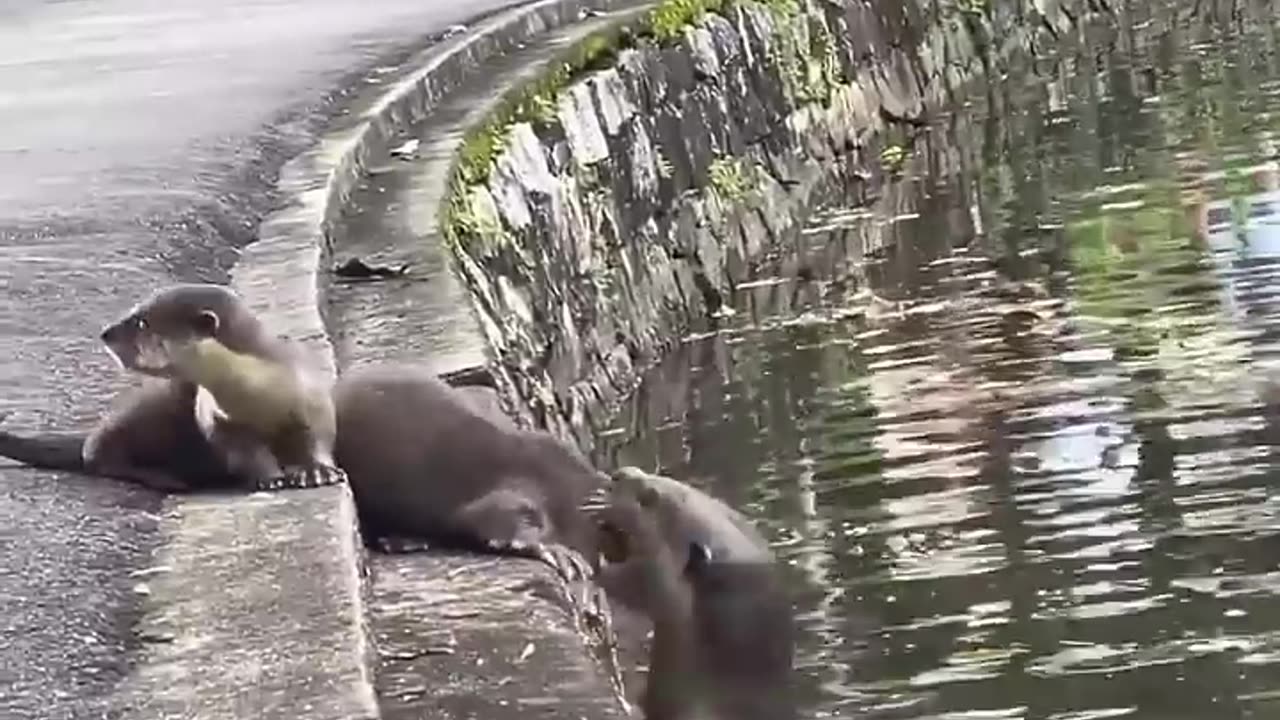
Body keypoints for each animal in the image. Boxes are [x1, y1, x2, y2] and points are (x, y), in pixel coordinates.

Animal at [0, 283, 345, 489]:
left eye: (142, 322)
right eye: (133, 311)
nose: (105, 332)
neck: (255, 392)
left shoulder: (312, 396)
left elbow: (318, 437)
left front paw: (318, 471)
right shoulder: (216, 419)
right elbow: (243, 453)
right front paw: (269, 478)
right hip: (140, 413)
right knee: (97, 453)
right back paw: (164, 477)